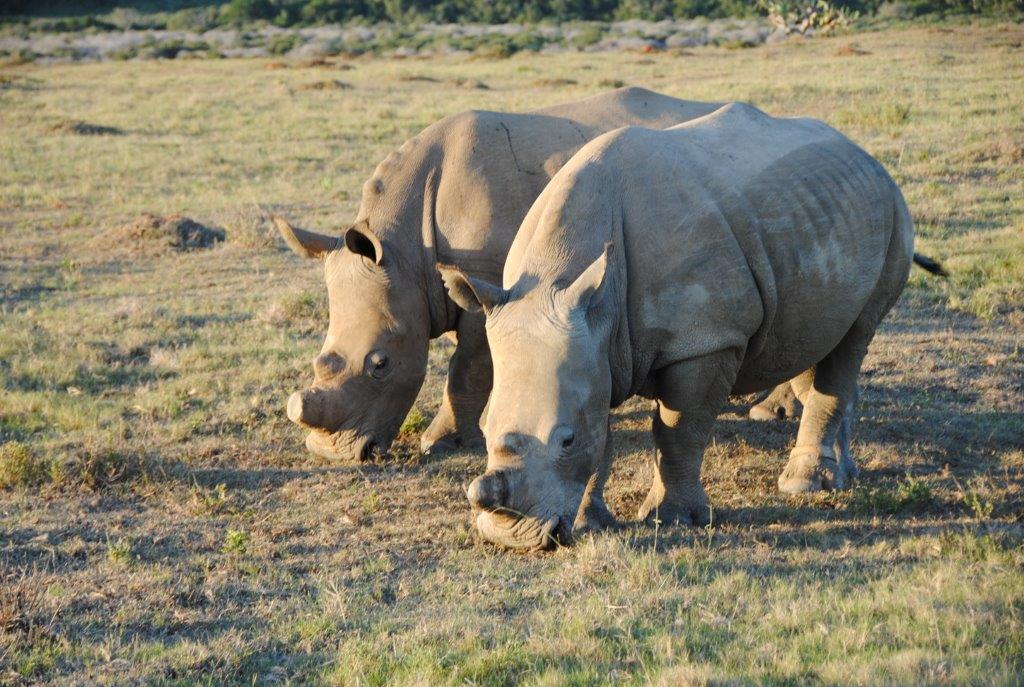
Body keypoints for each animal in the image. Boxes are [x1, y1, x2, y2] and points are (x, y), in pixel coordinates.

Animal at [439, 102, 919, 550]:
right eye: (484, 432)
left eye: (566, 441)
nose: (510, 537)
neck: (565, 274)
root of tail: (864, 154)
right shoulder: (592, 343)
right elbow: (603, 432)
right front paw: (590, 524)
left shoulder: (705, 339)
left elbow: (678, 430)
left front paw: (674, 520)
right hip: (823, 213)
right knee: (814, 340)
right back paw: (842, 474)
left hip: (895, 212)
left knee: (853, 337)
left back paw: (804, 485)